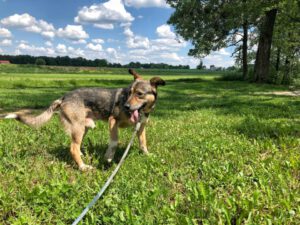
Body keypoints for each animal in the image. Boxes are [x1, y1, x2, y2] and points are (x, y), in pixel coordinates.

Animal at [4, 69, 165, 171]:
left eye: (139, 94)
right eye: (129, 92)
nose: (125, 105)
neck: (142, 111)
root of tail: (63, 98)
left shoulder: (141, 127)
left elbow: (143, 143)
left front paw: (147, 155)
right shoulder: (112, 121)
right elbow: (114, 142)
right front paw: (108, 158)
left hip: (85, 126)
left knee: (75, 145)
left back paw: (82, 156)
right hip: (79, 127)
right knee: (72, 148)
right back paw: (83, 167)